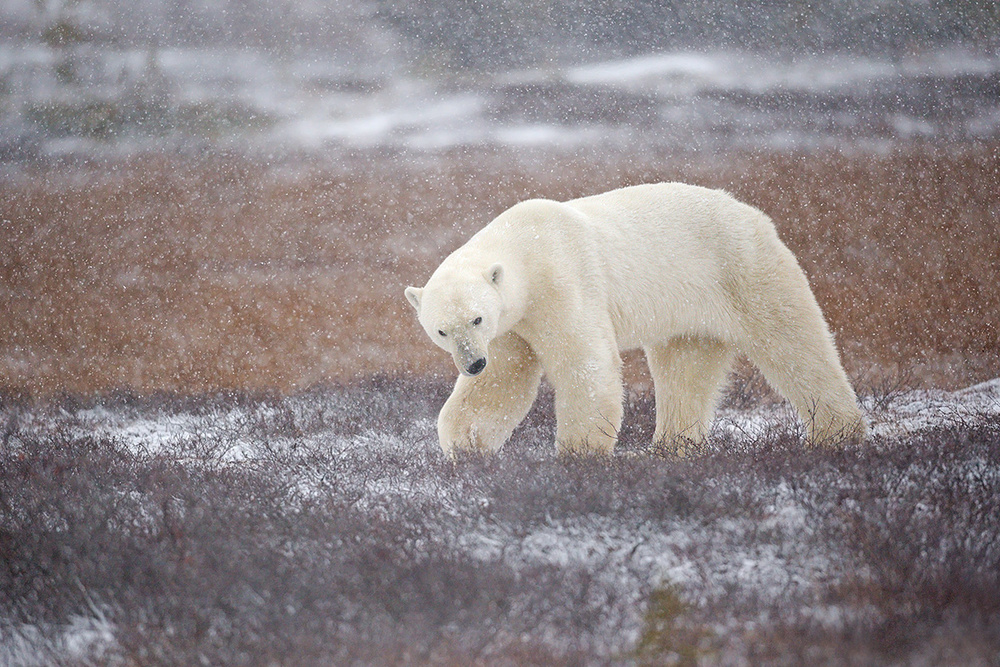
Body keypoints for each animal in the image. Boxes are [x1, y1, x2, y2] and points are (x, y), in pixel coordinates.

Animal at [406, 183, 868, 456]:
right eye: (442, 330)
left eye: (477, 318)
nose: (472, 363)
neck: (525, 247)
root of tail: (753, 213)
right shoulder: (513, 326)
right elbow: (504, 381)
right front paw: (464, 447)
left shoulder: (562, 282)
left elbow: (585, 363)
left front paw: (579, 453)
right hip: (689, 309)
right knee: (686, 368)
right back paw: (672, 447)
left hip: (744, 270)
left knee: (794, 344)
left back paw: (836, 434)